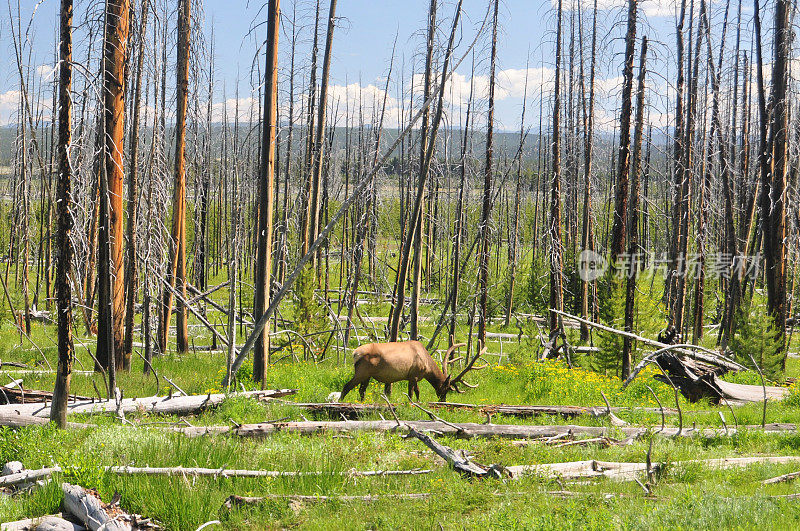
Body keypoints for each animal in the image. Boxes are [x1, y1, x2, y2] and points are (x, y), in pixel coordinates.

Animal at [336, 340, 484, 404]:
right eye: (446, 388)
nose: (443, 401)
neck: (427, 367)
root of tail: (355, 353)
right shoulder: (413, 375)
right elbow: (412, 393)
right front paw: (412, 403)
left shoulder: (414, 377)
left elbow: (417, 391)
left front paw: (418, 402)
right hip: (362, 372)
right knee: (346, 386)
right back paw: (339, 402)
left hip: (367, 375)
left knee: (362, 390)